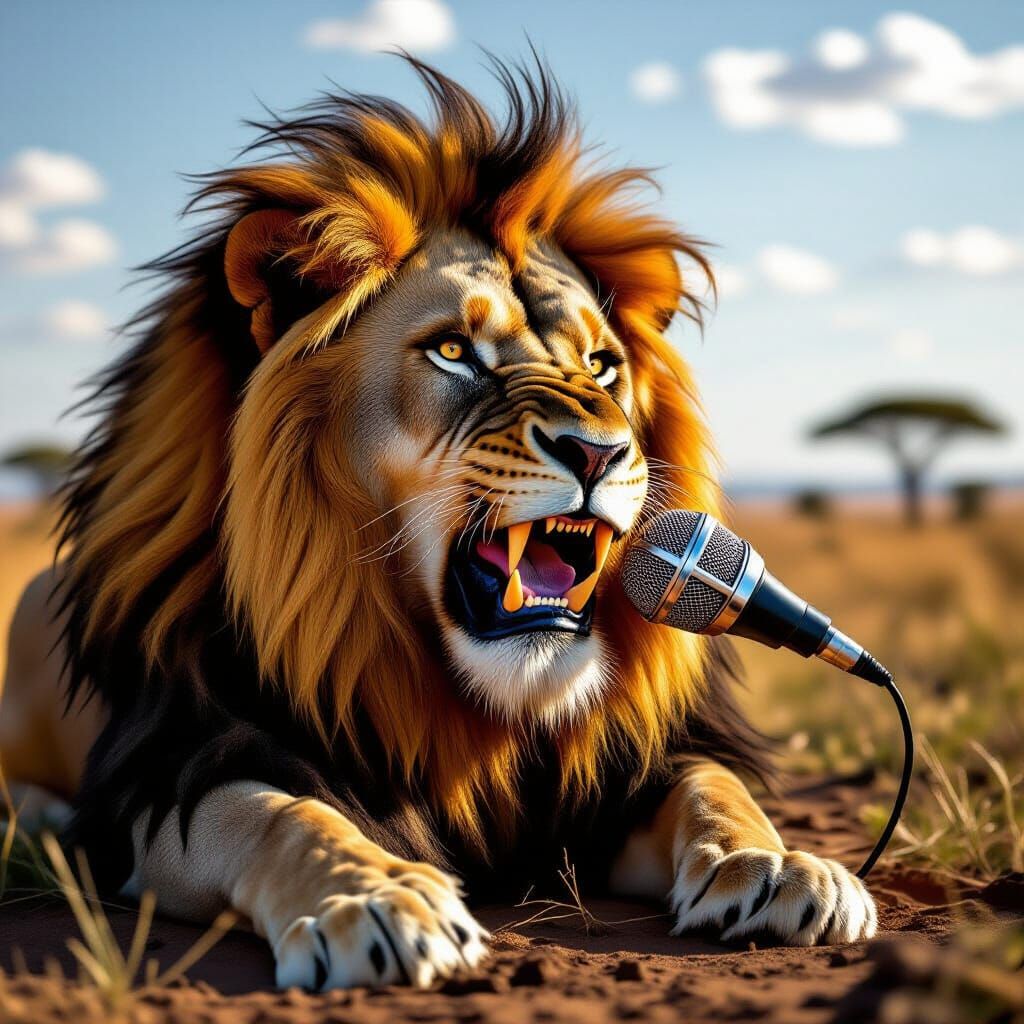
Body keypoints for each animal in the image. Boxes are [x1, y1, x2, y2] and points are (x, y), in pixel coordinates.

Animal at [0, 58, 875, 990]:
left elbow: (717, 788)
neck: (485, 707)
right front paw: (376, 898)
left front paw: (776, 865)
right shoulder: (175, 769)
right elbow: (278, 815)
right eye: (455, 352)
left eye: (603, 365)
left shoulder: (623, 775)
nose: (600, 451)